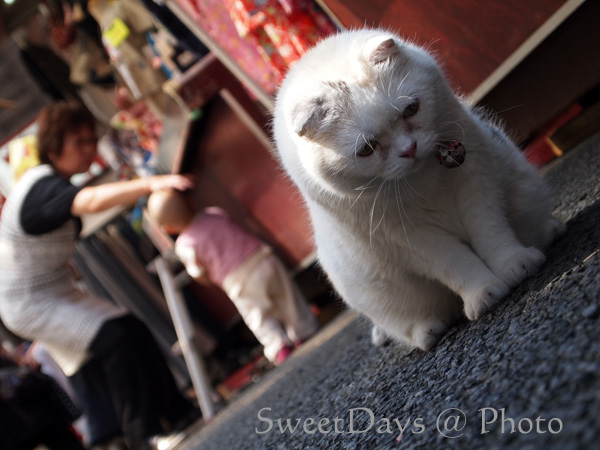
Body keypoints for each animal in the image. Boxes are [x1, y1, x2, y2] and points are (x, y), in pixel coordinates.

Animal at [274, 29, 564, 352]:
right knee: (411, 323)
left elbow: (492, 234)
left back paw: (551, 231)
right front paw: (485, 292)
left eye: (411, 109)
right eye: (366, 148)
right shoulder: (409, 238)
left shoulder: (476, 185)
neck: (423, 182)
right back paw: (428, 331)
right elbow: (456, 264)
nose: (409, 149)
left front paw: (515, 264)